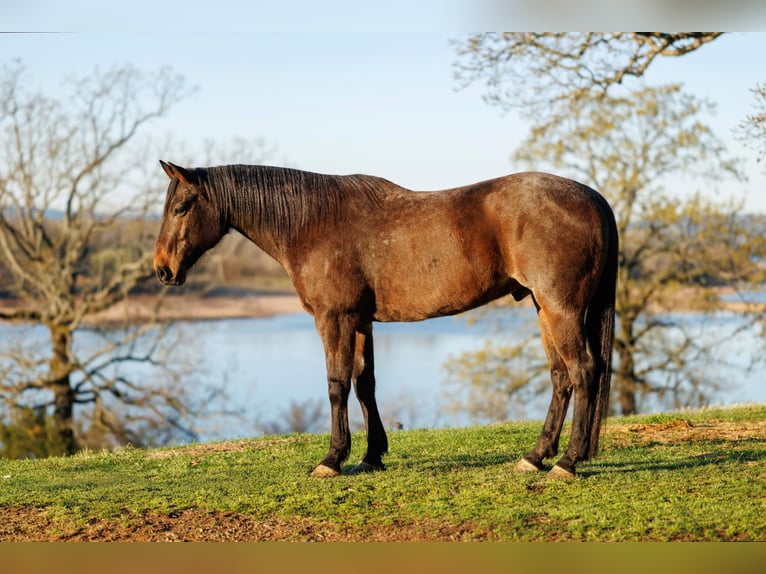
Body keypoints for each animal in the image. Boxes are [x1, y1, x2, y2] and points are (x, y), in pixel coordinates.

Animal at [154, 161, 617, 479]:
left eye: (181, 208)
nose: (162, 269)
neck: (313, 222)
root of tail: (593, 198)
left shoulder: (334, 319)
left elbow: (337, 386)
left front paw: (332, 459)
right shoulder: (361, 321)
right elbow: (365, 384)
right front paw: (371, 456)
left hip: (561, 309)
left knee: (584, 371)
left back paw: (568, 462)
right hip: (543, 308)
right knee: (561, 377)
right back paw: (535, 457)